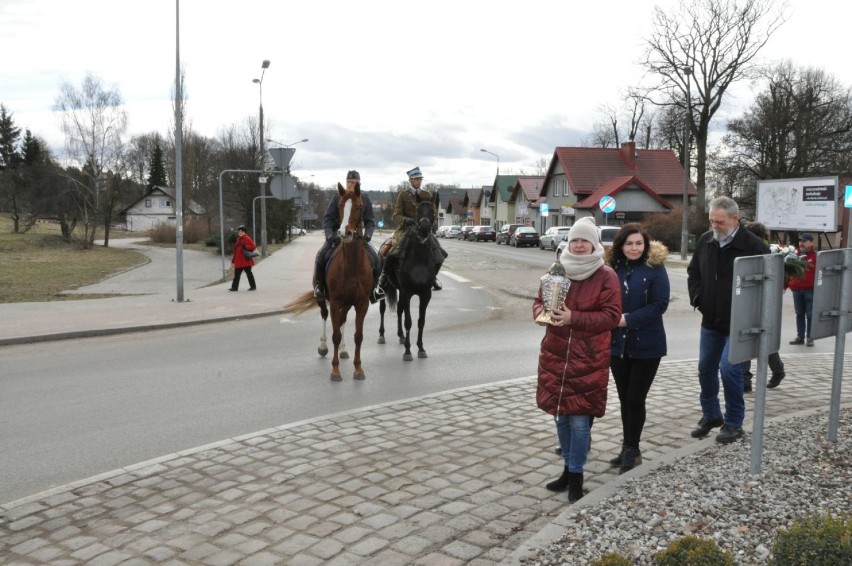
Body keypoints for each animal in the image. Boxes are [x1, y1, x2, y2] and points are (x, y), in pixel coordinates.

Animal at [282, 183, 372, 382]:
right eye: (339, 206)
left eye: (359, 207)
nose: (344, 233)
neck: (352, 264)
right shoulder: (335, 301)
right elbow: (335, 334)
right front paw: (335, 371)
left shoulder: (361, 303)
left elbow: (358, 336)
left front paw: (358, 369)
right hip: (323, 298)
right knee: (324, 315)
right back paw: (323, 347)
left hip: (348, 303)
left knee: (343, 319)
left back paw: (344, 350)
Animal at [378, 195, 440, 364]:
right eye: (418, 210)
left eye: (432, 211)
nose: (424, 227)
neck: (419, 259)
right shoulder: (407, 292)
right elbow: (409, 321)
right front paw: (407, 351)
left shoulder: (425, 294)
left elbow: (420, 321)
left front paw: (421, 348)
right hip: (386, 288)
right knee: (382, 309)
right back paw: (382, 335)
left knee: (399, 309)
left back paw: (401, 336)